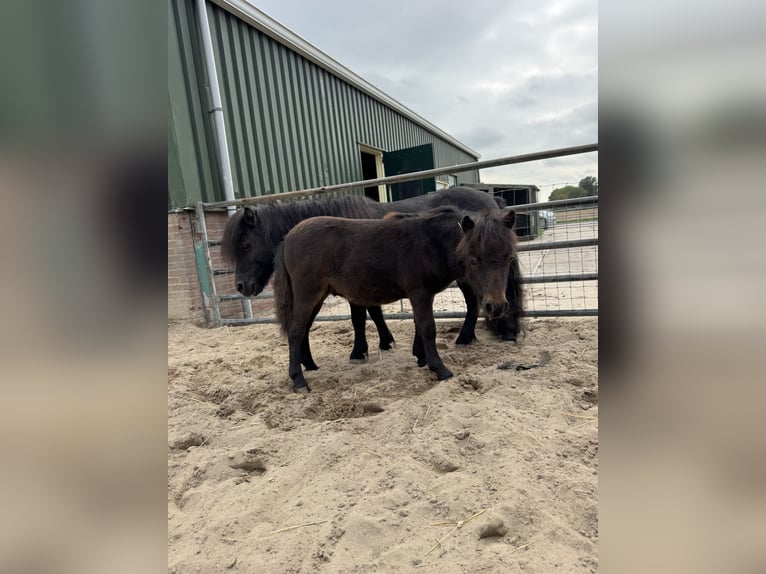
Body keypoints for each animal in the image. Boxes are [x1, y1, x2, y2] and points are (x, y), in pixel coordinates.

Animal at [220, 187, 524, 361]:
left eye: (245, 244)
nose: (241, 286)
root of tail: (490, 197)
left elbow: (360, 318)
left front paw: (360, 350)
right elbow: (373, 312)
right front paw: (385, 341)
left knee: (475, 303)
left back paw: (477, 335)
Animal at [272, 206, 518, 393]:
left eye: (508, 258)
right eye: (474, 260)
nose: (496, 305)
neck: (430, 243)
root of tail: (288, 237)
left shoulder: (423, 295)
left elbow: (420, 325)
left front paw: (421, 358)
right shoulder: (419, 293)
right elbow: (428, 328)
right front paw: (439, 369)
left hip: (318, 296)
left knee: (303, 329)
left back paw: (310, 365)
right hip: (308, 294)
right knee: (295, 331)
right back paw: (299, 380)